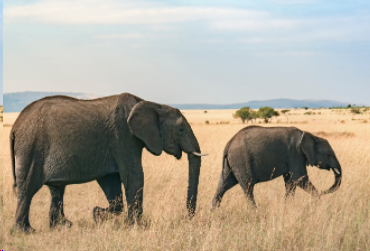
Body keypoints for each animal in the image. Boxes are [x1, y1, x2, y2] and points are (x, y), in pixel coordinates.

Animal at [10, 93, 208, 232]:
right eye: (180, 129)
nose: (188, 217)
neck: (152, 104)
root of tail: (15, 127)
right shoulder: (123, 135)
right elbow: (134, 176)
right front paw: (137, 226)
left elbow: (112, 181)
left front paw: (97, 215)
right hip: (31, 148)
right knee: (27, 188)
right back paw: (26, 231)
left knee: (56, 189)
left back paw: (62, 226)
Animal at [211, 125, 342, 208]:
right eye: (328, 154)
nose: (323, 191)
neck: (310, 135)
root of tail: (228, 145)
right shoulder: (295, 154)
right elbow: (299, 179)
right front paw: (318, 201)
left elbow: (290, 182)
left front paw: (287, 207)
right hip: (241, 160)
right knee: (248, 187)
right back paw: (255, 212)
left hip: (231, 163)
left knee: (223, 184)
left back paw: (214, 212)